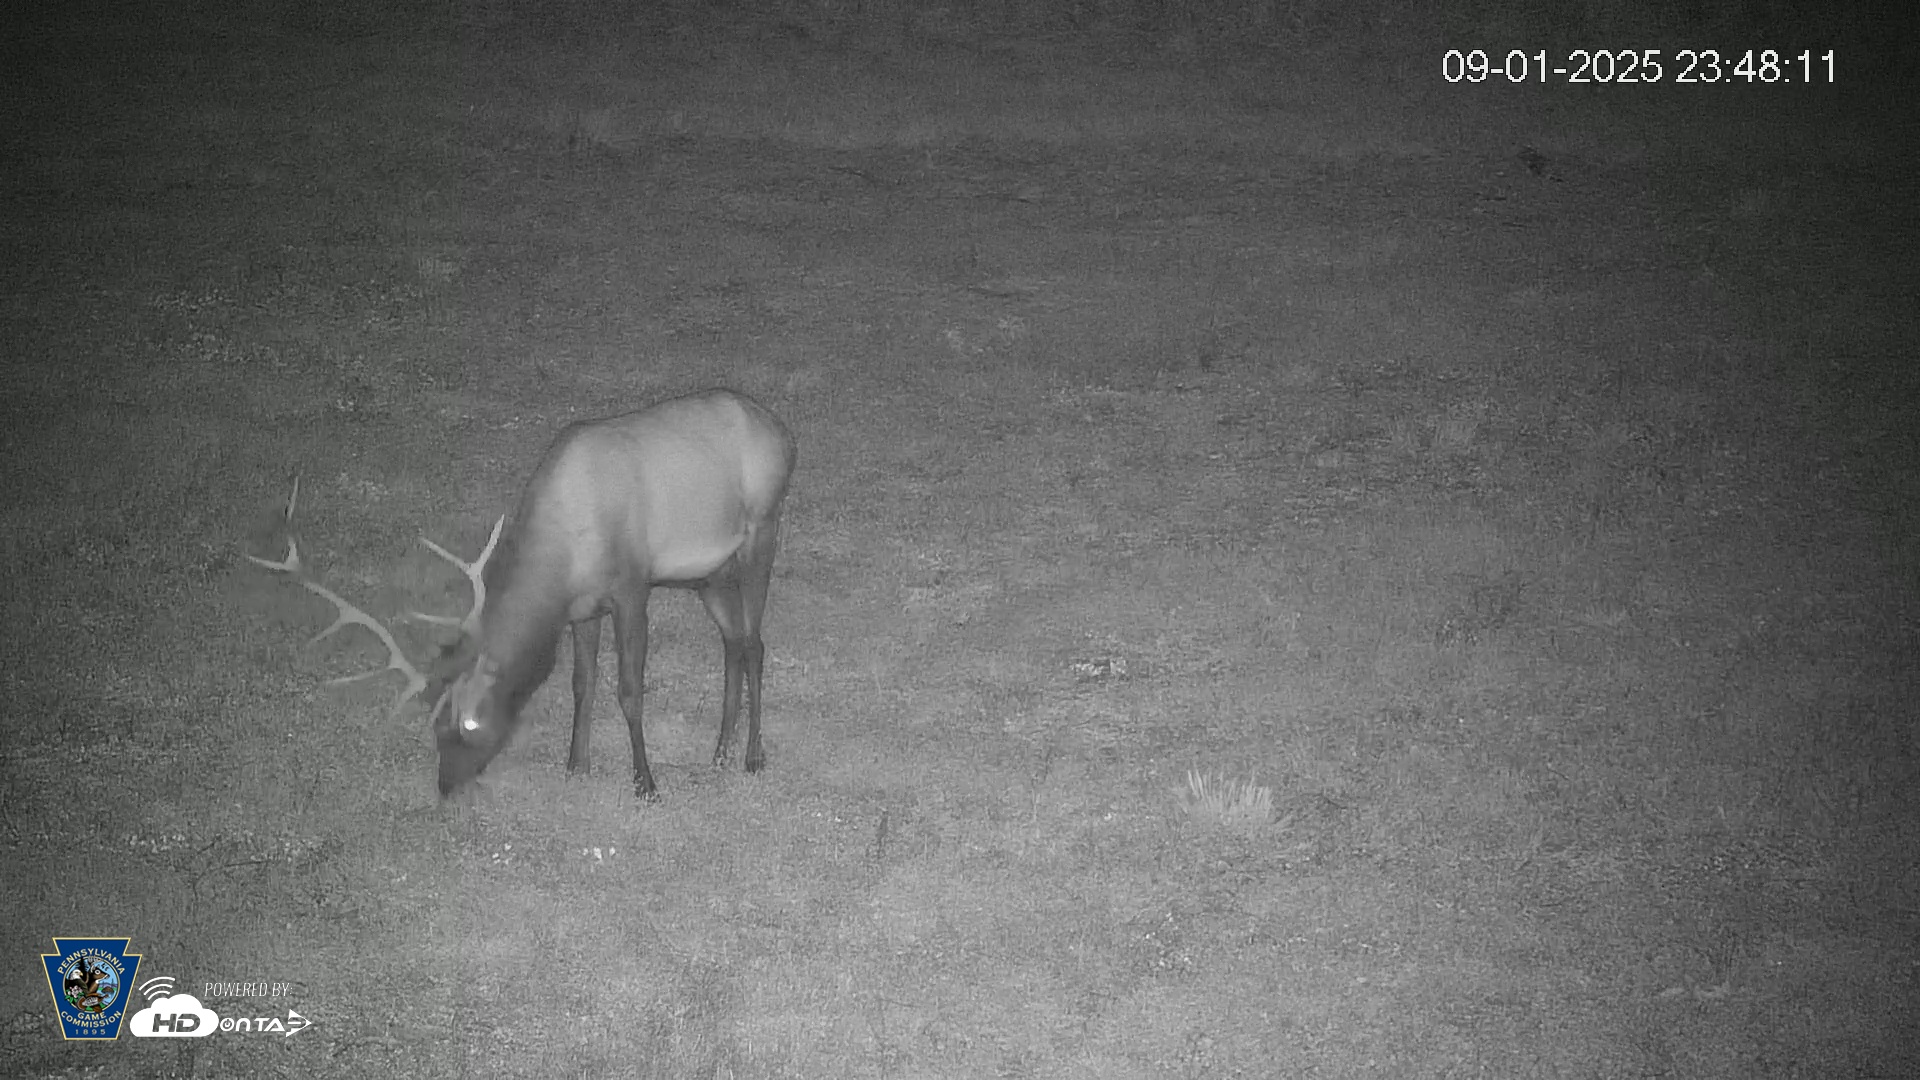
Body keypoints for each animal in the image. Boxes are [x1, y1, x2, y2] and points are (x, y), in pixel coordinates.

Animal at [249, 388, 797, 799]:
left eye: (470, 723)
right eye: (432, 724)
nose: (445, 785)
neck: (563, 560)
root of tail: (782, 432)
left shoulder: (631, 587)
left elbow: (629, 689)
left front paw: (646, 782)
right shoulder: (583, 609)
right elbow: (582, 682)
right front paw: (576, 763)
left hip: (762, 529)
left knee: (755, 643)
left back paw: (753, 755)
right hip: (710, 574)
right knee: (733, 641)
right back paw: (720, 752)